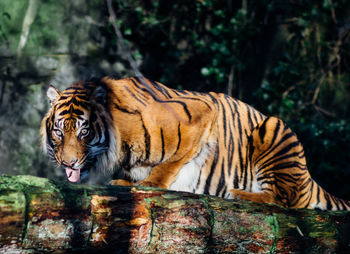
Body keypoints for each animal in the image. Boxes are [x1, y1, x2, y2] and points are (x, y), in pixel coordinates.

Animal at [40, 77, 350, 210]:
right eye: (59, 132)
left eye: (84, 131)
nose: (67, 162)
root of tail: (309, 178)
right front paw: (124, 181)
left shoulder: (200, 113)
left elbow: (170, 163)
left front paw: (149, 184)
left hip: (274, 127)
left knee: (285, 199)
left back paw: (240, 194)